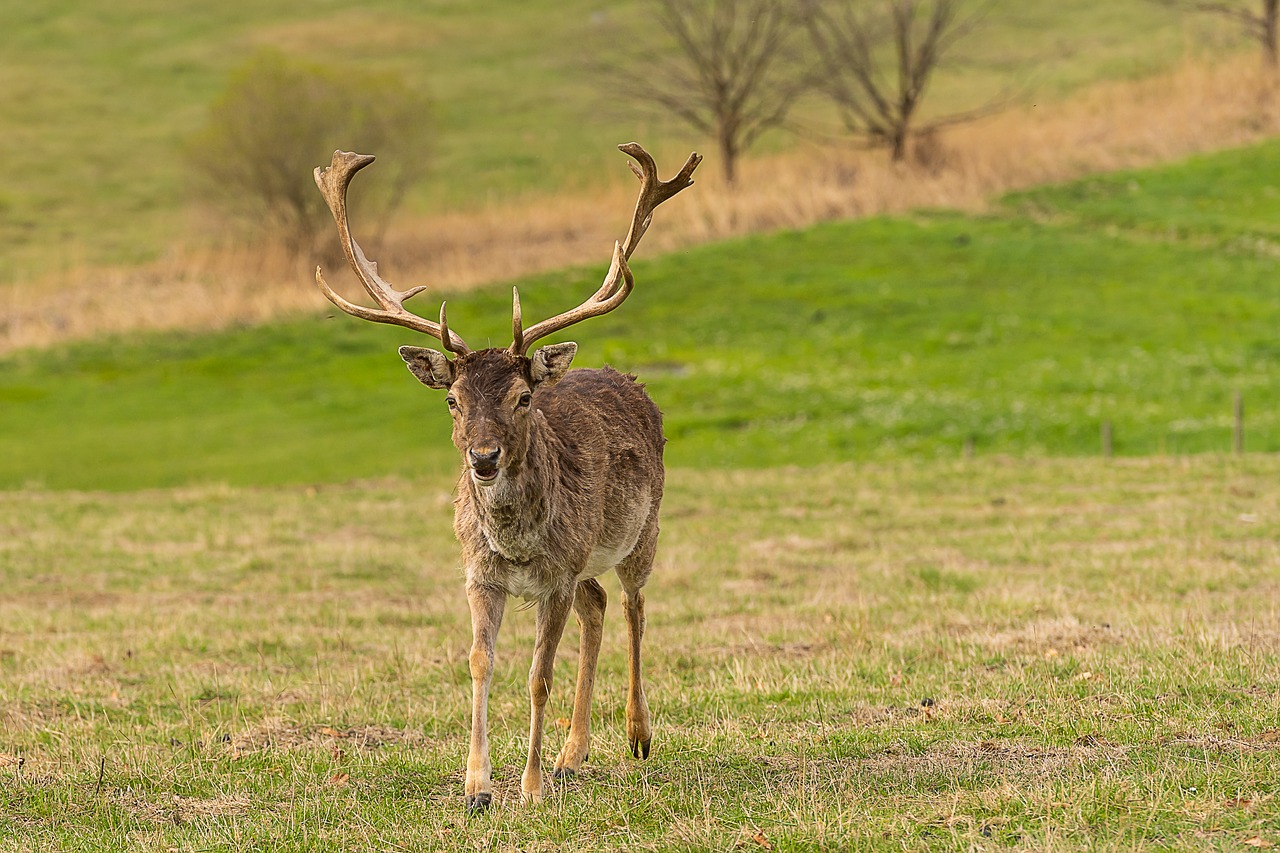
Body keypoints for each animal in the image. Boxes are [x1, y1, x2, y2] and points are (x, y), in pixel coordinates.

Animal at [316, 142, 706, 809]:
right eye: (452, 400)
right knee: (599, 605)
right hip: (585, 563)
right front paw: (477, 784)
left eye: (523, 397)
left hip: (642, 530)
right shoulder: (480, 573)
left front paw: (528, 786)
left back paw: (636, 735)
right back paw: (573, 755)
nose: (484, 457)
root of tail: (632, 381)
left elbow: (538, 676)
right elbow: (480, 662)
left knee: (635, 604)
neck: (517, 545)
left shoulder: (555, 578)